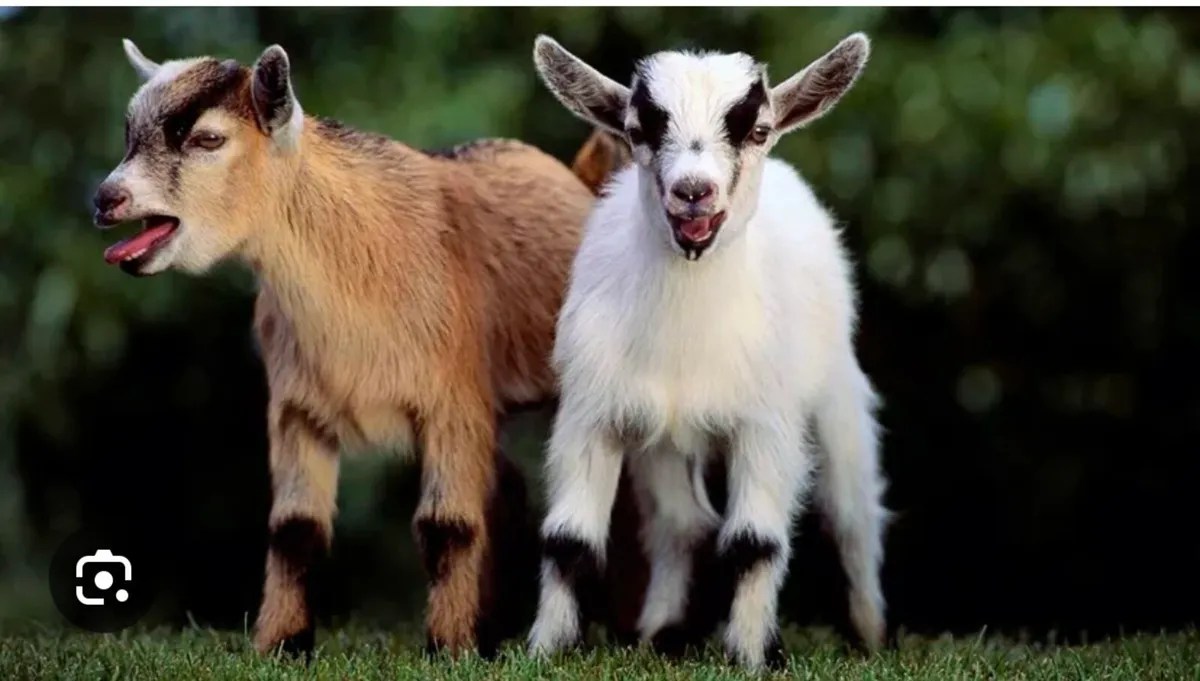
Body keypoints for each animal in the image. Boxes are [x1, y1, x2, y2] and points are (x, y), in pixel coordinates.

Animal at [91, 40, 626, 658]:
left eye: (208, 139)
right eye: (129, 130)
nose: (107, 199)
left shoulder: (455, 401)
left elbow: (447, 524)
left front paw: (447, 649)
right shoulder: (296, 408)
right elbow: (294, 529)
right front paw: (281, 644)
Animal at [526, 33, 889, 670]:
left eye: (758, 129)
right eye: (638, 128)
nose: (694, 191)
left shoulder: (766, 426)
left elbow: (754, 542)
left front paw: (750, 656)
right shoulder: (592, 414)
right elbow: (569, 539)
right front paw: (545, 650)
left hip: (837, 393)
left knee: (852, 513)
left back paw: (868, 633)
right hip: (665, 443)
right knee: (682, 523)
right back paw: (661, 631)